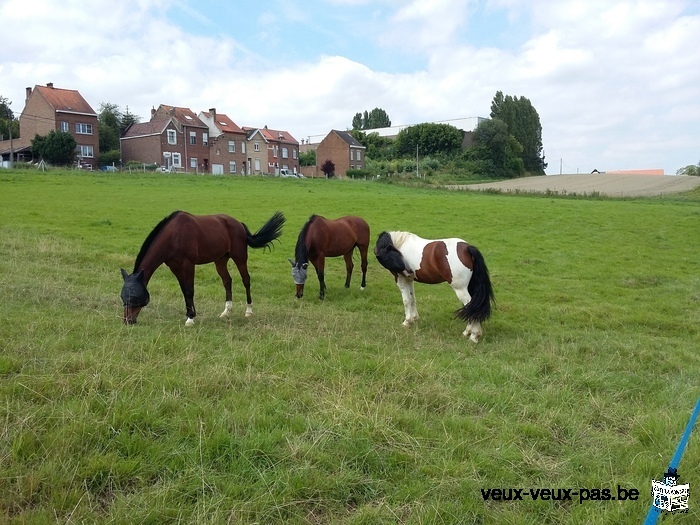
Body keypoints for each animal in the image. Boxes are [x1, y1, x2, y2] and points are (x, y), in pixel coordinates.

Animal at [120, 209, 284, 324]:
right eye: (123, 297)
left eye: (134, 297)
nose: (127, 321)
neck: (174, 235)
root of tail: (238, 224)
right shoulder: (175, 267)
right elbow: (184, 290)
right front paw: (189, 314)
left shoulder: (188, 264)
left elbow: (189, 290)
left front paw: (191, 318)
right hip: (220, 260)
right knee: (227, 281)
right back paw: (226, 311)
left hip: (240, 257)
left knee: (246, 280)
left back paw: (249, 311)